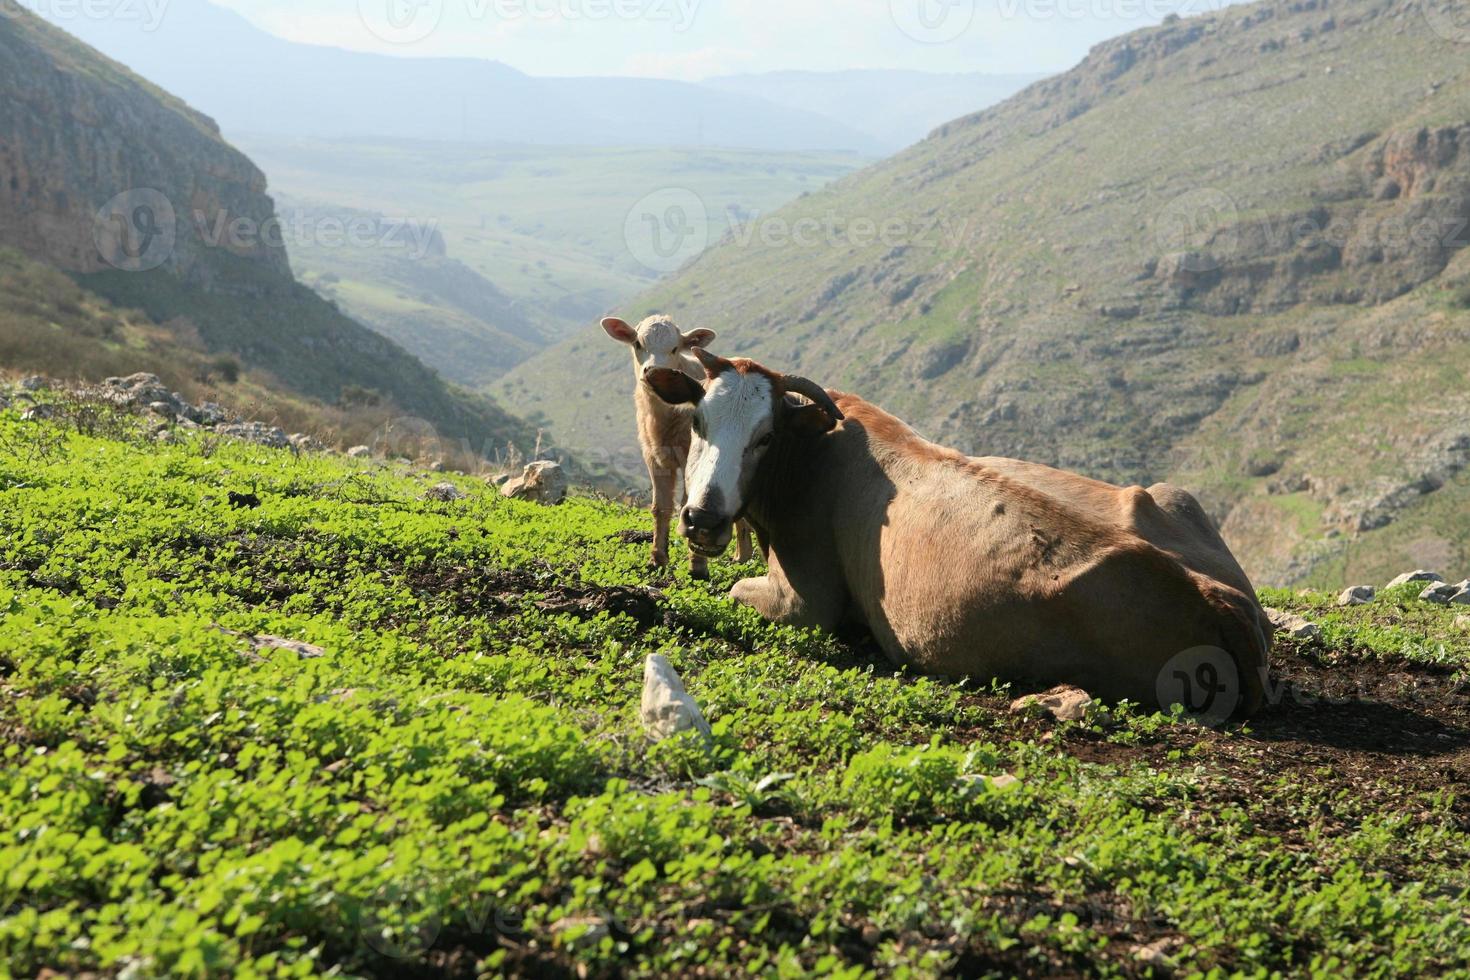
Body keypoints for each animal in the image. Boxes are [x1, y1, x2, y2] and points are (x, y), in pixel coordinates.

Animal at [599, 314, 752, 578]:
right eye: (638, 344)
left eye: (674, 348)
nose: (653, 370)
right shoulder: (654, 457)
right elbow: (660, 507)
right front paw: (657, 559)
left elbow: (688, 506)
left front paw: (697, 567)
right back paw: (741, 557)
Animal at [649, 351, 1270, 714]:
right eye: (698, 421)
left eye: (764, 437)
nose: (702, 518)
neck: (813, 453)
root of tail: (1214, 598)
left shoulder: (805, 599)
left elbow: (739, 589)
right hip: (1172, 494)